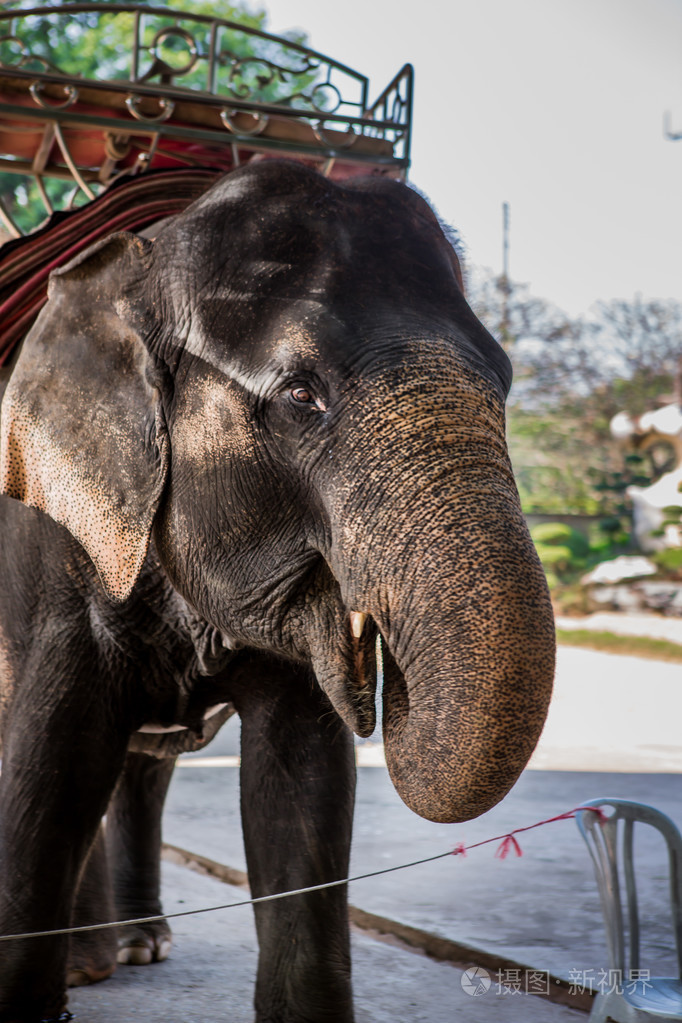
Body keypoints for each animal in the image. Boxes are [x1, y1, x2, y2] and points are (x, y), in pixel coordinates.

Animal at [0, 161, 556, 1023]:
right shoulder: (57, 538)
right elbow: (49, 768)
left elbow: (302, 785)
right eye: (302, 395)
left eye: (503, 378)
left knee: (144, 763)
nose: (380, 682)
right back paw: (102, 964)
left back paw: (130, 950)